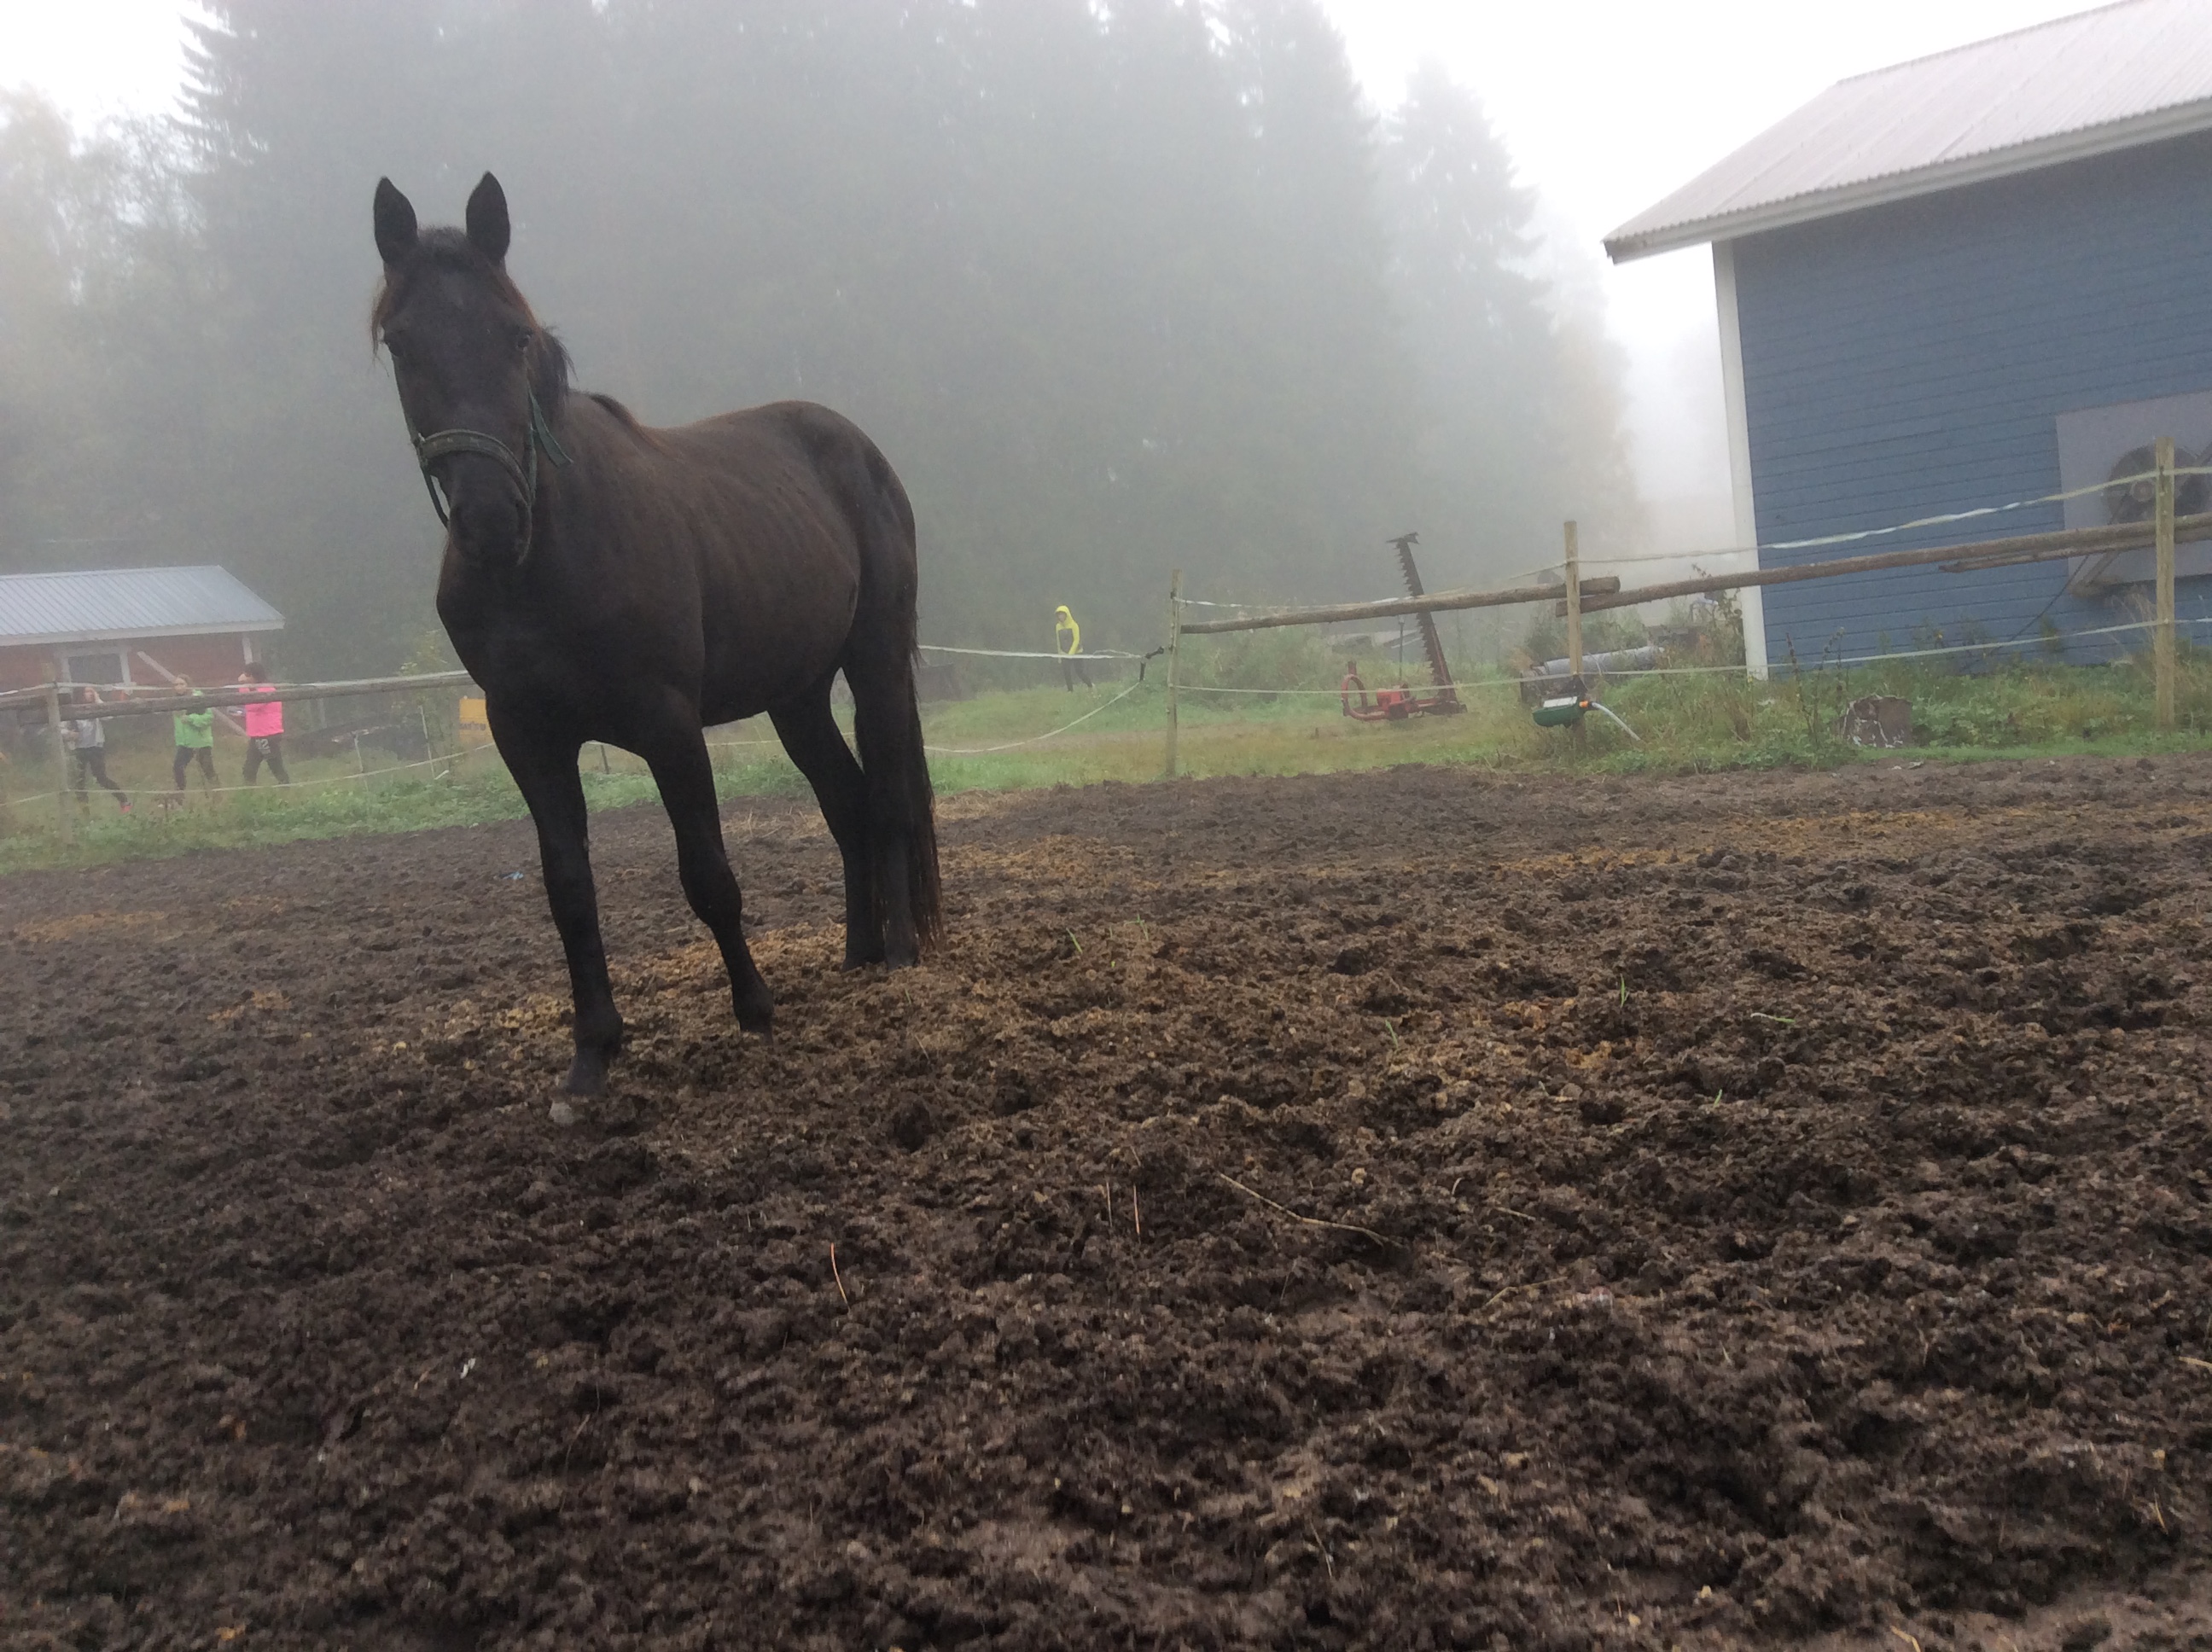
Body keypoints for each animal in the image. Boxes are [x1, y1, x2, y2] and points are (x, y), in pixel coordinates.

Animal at [371, 172, 940, 1098]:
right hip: (796, 696)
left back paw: (894, 956)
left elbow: (707, 872)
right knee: (847, 802)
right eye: (402, 343)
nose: (492, 523)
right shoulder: (525, 734)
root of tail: (856, 446)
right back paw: (855, 953)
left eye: (516, 336)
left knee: (887, 797)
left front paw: (756, 1008)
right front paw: (592, 1052)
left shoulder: (668, 723)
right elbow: (569, 889)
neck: (552, 557)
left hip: (877, 661)